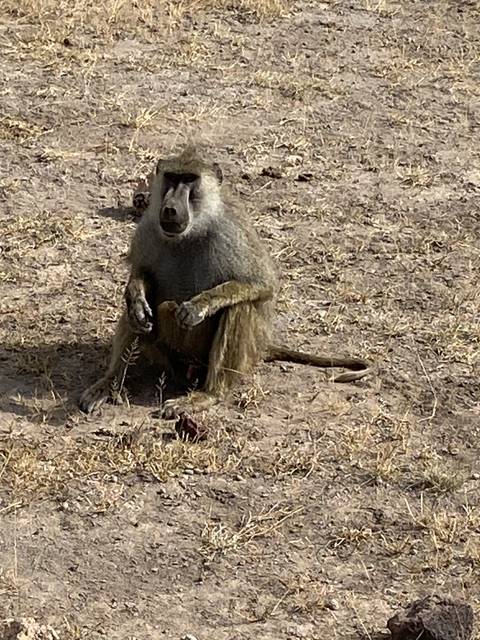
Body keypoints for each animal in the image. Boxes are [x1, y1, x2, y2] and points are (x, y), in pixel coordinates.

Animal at [78, 146, 371, 417]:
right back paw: (109, 384)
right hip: (166, 357)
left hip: (240, 358)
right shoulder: (148, 227)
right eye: (172, 178)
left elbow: (262, 285)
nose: (170, 209)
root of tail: (262, 347)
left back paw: (207, 395)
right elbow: (141, 278)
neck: (193, 230)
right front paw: (136, 296)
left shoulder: (232, 232)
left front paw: (198, 306)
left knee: (238, 307)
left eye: (189, 180)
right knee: (137, 317)